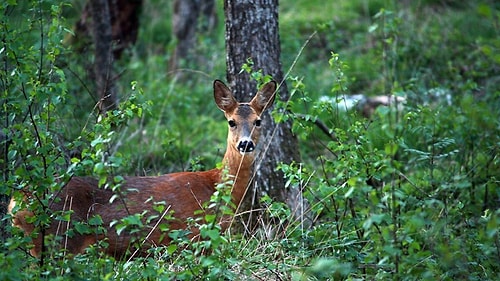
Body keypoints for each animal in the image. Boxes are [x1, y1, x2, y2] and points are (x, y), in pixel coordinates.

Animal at [8, 79, 278, 258]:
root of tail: (16, 201)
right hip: (56, 241)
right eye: (231, 122)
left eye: (258, 121)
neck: (215, 188)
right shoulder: (190, 237)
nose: (246, 144)